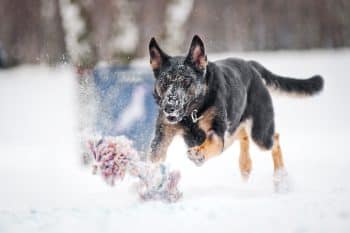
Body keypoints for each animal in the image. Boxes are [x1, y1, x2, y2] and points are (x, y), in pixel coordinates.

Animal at [146, 34, 324, 179]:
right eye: (164, 82)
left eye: (186, 81)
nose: (169, 107)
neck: (192, 114)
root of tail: (250, 65)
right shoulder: (163, 136)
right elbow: (154, 156)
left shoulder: (218, 133)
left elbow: (212, 141)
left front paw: (198, 153)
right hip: (235, 130)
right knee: (243, 134)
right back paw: (245, 165)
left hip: (260, 135)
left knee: (274, 138)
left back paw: (281, 177)